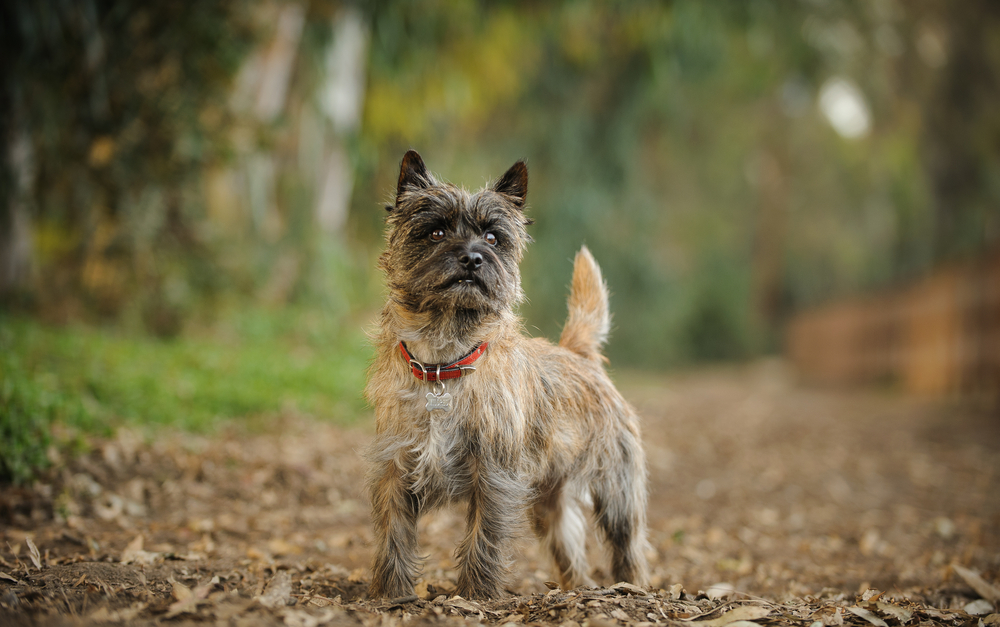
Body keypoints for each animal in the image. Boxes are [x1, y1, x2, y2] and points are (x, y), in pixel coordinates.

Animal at [366, 151, 648, 600]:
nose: (472, 257)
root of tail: (578, 353)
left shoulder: (494, 477)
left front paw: (475, 595)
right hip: (550, 503)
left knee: (628, 546)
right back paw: (578, 589)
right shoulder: (395, 468)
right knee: (571, 552)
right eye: (436, 231)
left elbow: (484, 537)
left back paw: (632, 587)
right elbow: (393, 535)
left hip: (617, 493)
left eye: (493, 237)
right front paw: (391, 594)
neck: (444, 360)